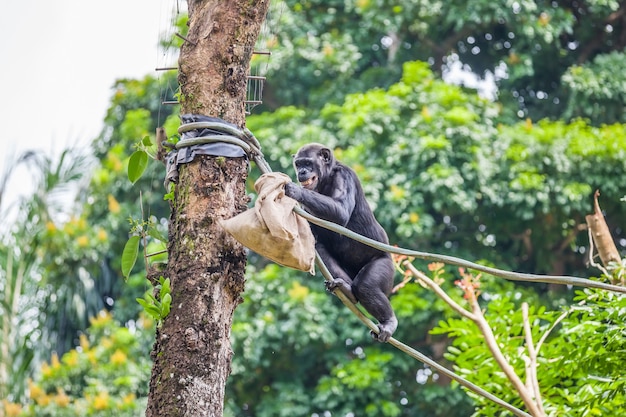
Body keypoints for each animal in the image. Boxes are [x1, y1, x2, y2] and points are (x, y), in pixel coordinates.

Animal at [282, 143, 394, 342]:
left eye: (308, 163)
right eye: (298, 163)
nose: (302, 171)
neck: (325, 179)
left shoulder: (344, 176)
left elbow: (340, 210)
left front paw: (294, 190)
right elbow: (313, 238)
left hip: (386, 267)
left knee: (366, 286)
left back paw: (388, 321)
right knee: (321, 249)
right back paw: (347, 289)